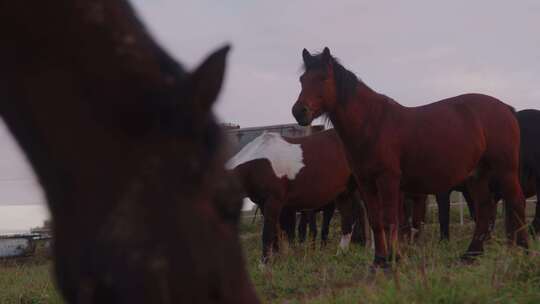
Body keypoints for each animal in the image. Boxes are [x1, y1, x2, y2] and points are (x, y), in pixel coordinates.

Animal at [228, 129, 368, 262]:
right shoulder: (264, 205)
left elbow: (268, 234)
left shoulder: (273, 202)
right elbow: (277, 234)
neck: (259, 162)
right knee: (349, 221)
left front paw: (264, 265)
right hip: (344, 194)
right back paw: (340, 254)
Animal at [294, 46, 528, 268]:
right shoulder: (366, 182)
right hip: (477, 175)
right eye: (302, 79)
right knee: (485, 209)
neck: (372, 123)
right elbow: (376, 220)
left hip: (505, 170)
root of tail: (506, 108)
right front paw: (378, 260)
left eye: (323, 78)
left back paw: (522, 251)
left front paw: (393, 259)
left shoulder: (388, 179)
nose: (299, 111)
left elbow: (390, 220)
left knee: (516, 202)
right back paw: (470, 255)